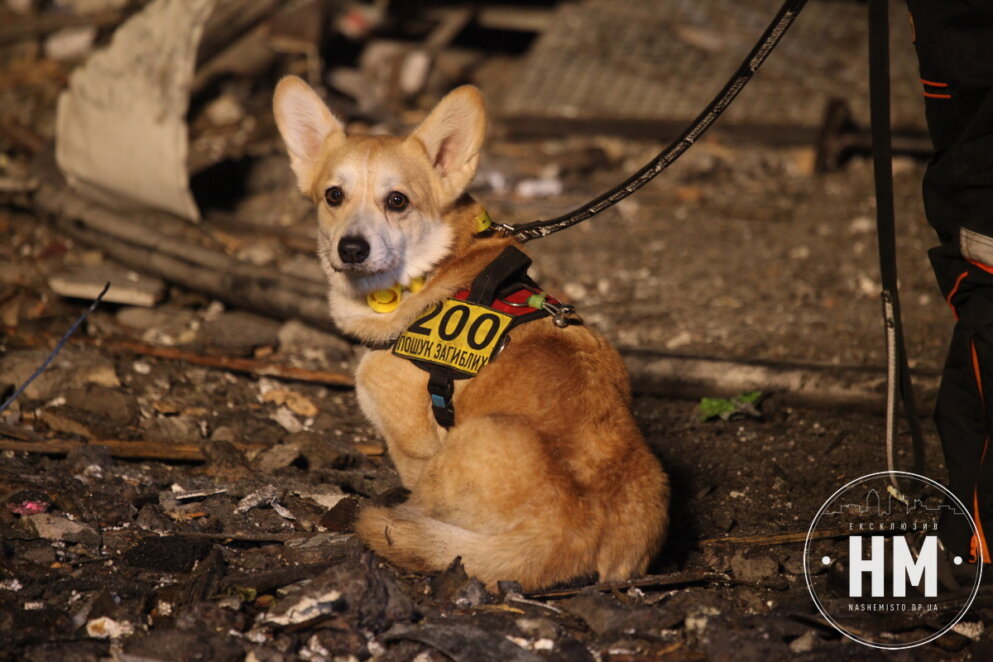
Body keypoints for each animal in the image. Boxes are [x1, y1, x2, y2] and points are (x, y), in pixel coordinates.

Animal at [276, 76, 672, 592]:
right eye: (333, 196)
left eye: (397, 200)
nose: (352, 249)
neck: (432, 270)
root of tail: (575, 533)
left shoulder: (413, 448)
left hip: (480, 436)